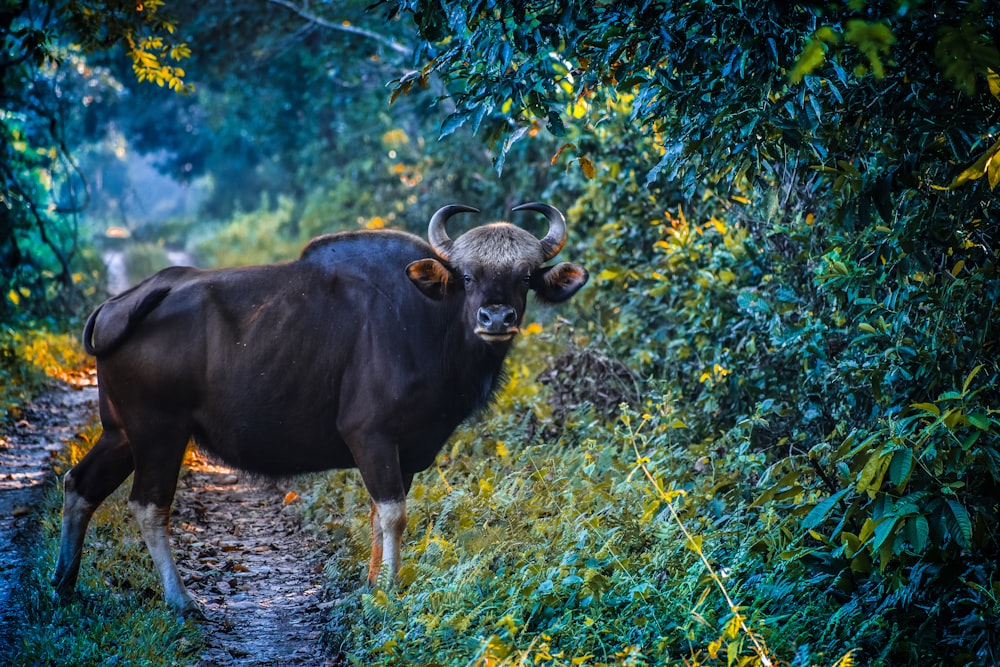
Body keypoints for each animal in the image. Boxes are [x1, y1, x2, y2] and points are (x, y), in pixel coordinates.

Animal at [52, 202, 584, 616]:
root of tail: (122, 303)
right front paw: (391, 590)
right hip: (159, 431)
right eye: (469, 277)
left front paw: (372, 585)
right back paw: (180, 600)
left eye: (525, 278)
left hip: (121, 432)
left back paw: (64, 585)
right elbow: (394, 514)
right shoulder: (370, 435)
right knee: (148, 505)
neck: (428, 322)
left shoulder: (404, 449)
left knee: (80, 485)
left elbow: (377, 513)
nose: (495, 318)